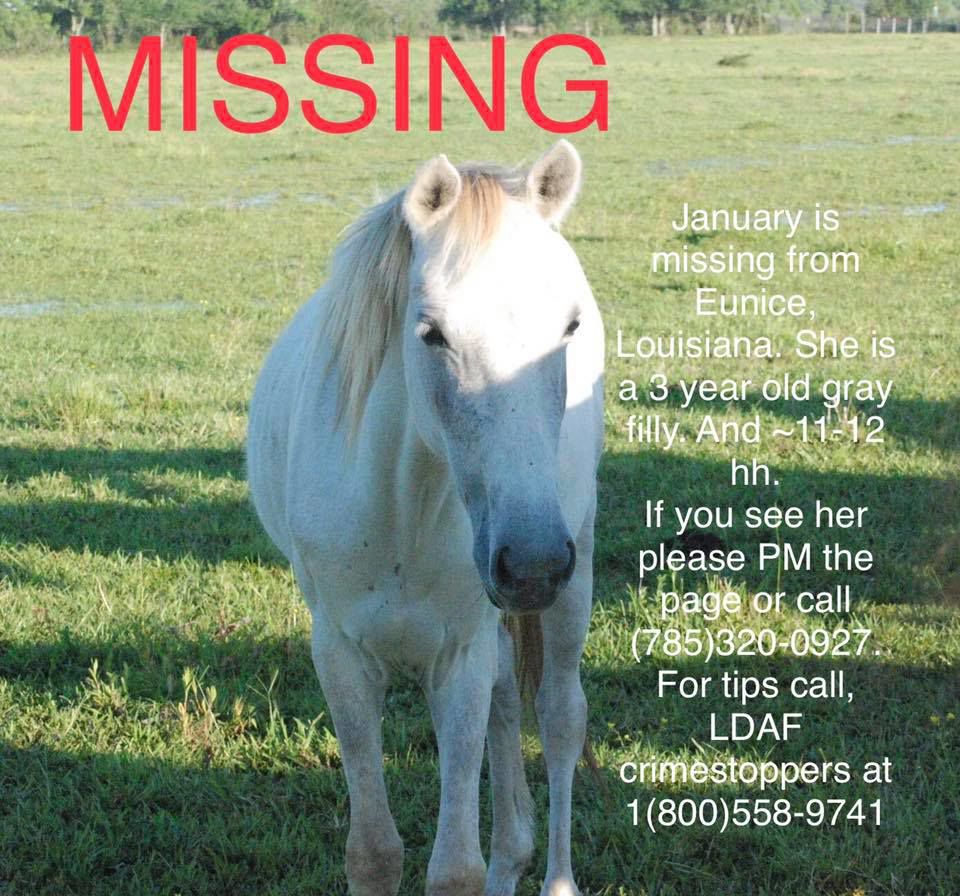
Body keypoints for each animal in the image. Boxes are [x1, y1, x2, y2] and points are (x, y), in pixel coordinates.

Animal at [247, 140, 604, 896]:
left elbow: (454, 869)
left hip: (575, 570)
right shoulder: (342, 656)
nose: (532, 563)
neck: (400, 513)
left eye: (569, 326)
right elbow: (374, 852)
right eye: (431, 333)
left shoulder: (457, 658)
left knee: (560, 716)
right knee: (509, 700)